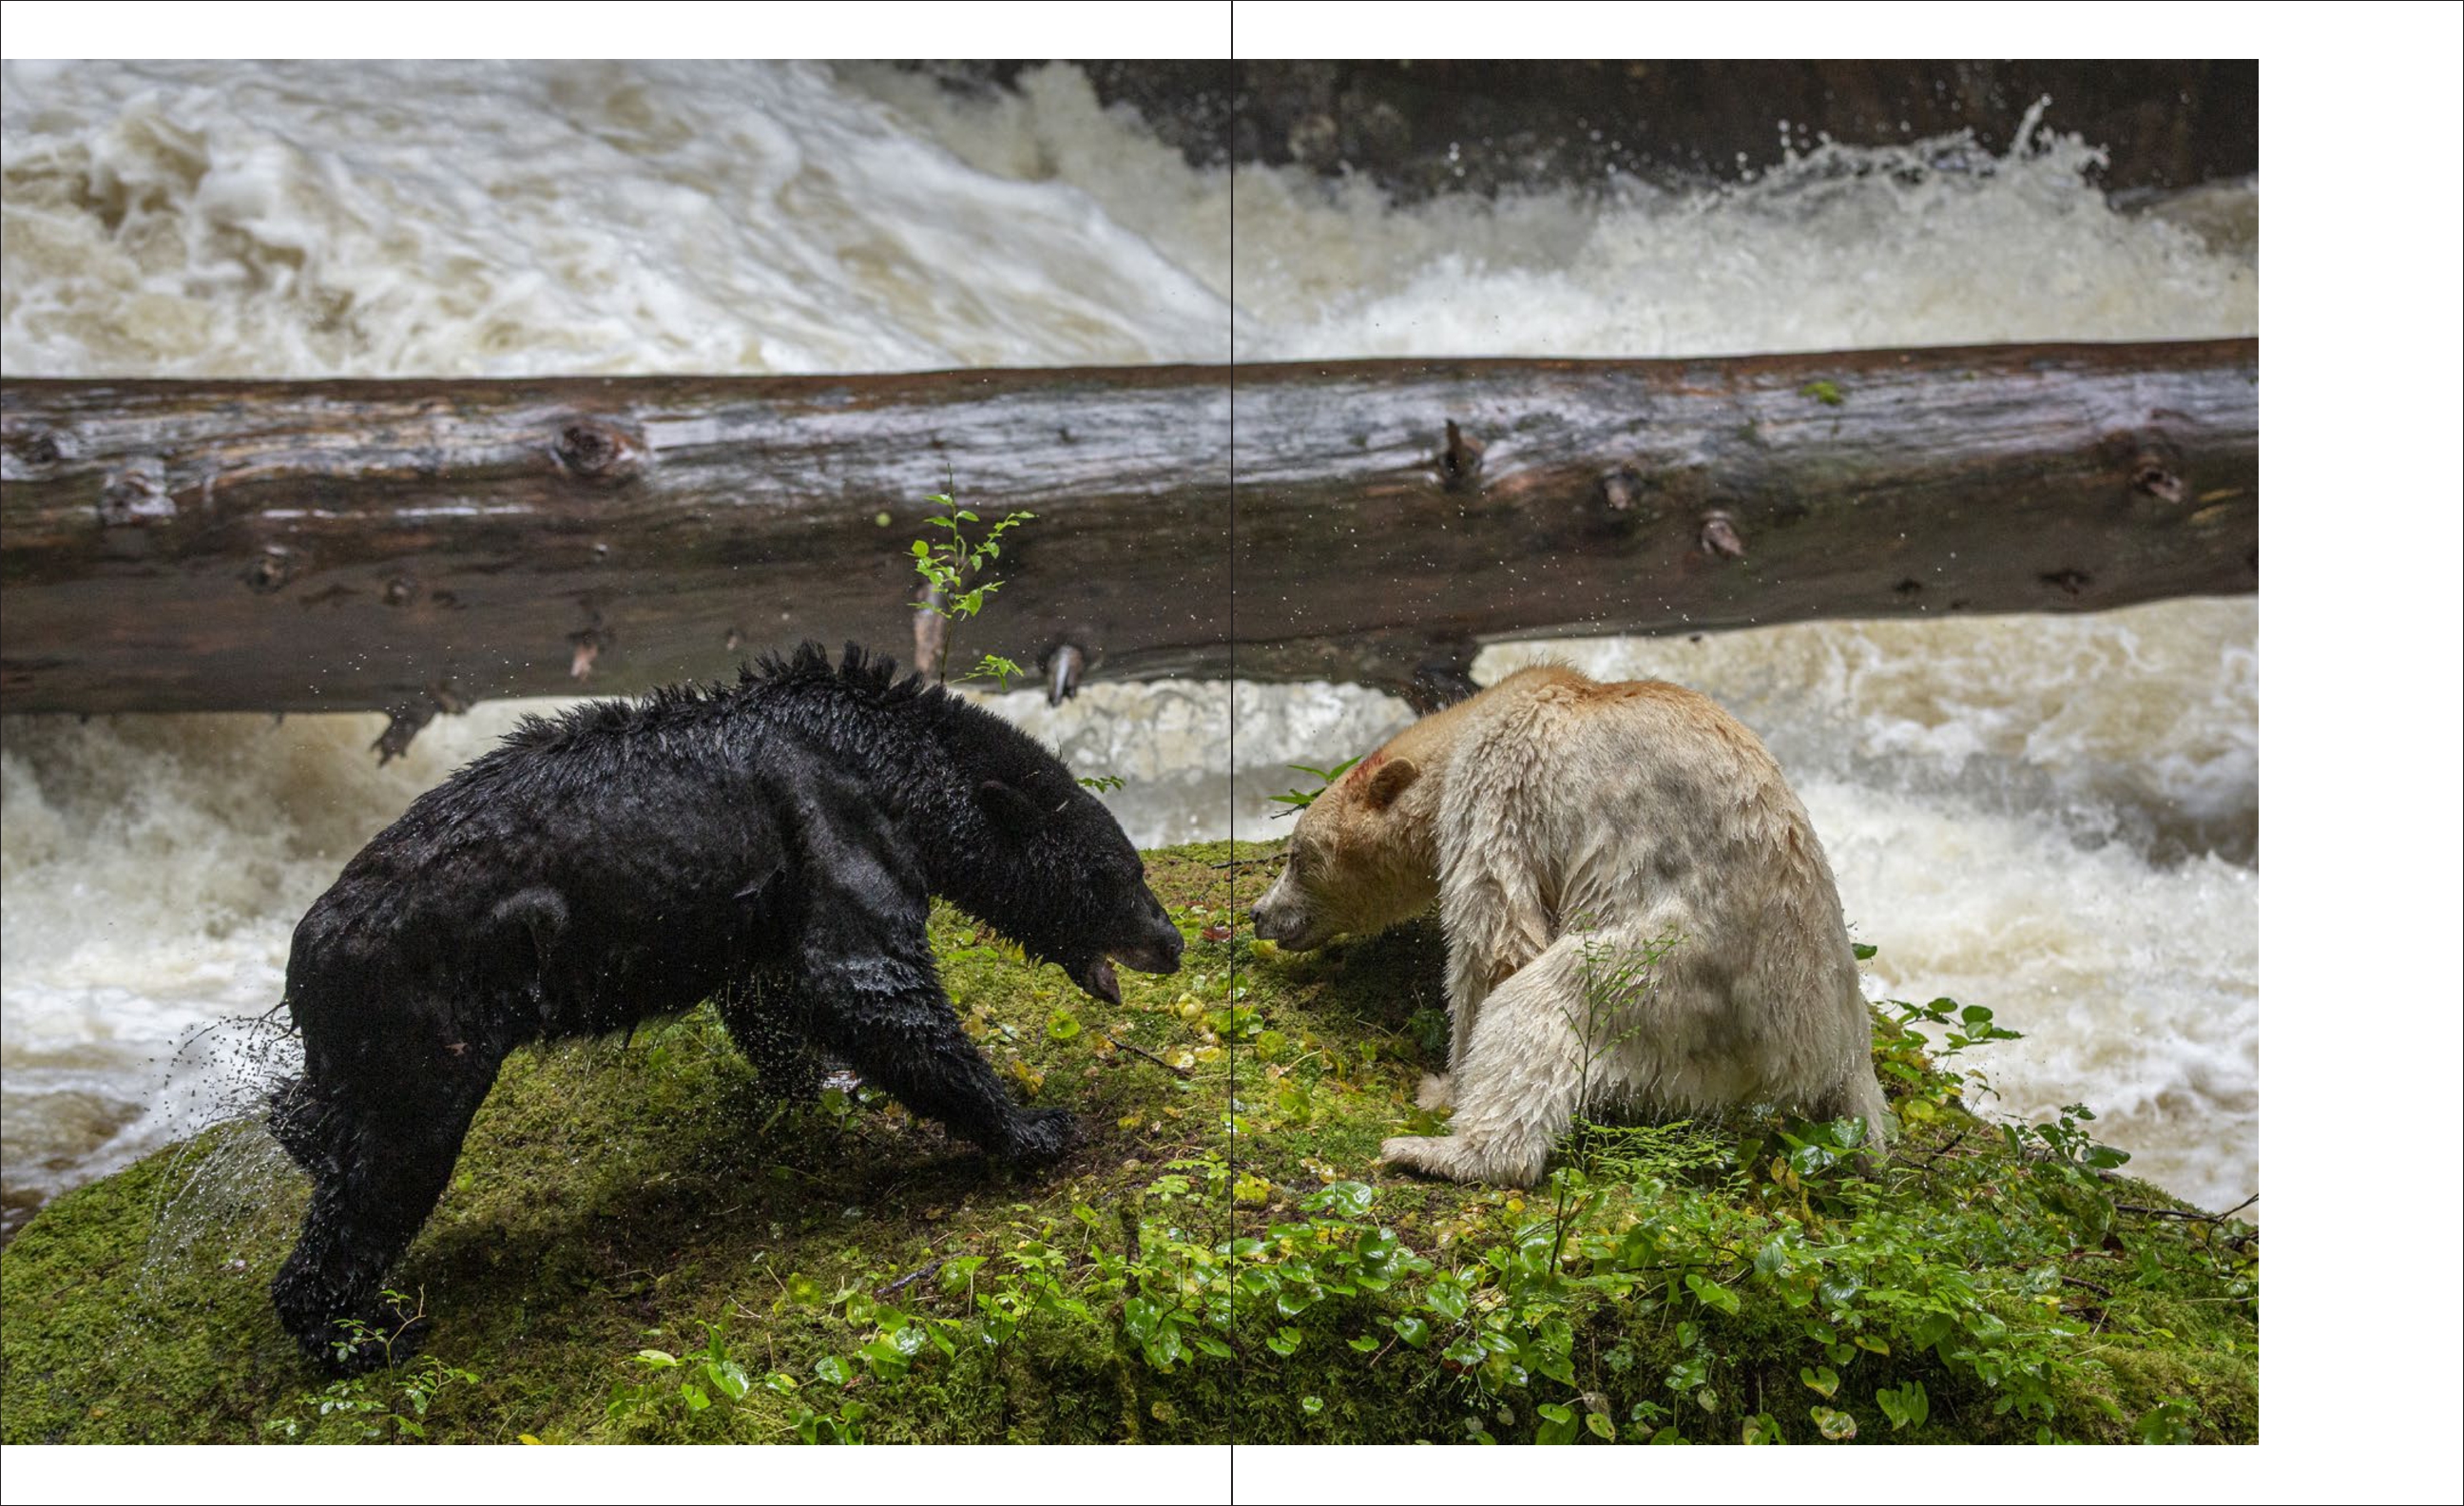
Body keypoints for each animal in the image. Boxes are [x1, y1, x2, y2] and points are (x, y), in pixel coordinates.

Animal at [266, 643, 1184, 1371]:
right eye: (1121, 873)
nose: (1172, 942)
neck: (893, 762)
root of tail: (306, 946)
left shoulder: (775, 887)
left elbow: (771, 997)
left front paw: (824, 1085)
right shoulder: (831, 816)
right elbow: (865, 980)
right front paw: (1033, 1125)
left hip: (360, 1042)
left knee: (318, 1120)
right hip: (419, 1022)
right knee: (389, 1165)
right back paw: (354, 1333)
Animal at [1248, 662, 1888, 1188]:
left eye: (1297, 856)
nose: (1259, 914)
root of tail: (1833, 1048)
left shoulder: (1500, 785)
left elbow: (1498, 937)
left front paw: (1443, 1085)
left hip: (1680, 982)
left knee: (1545, 1005)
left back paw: (1437, 1151)